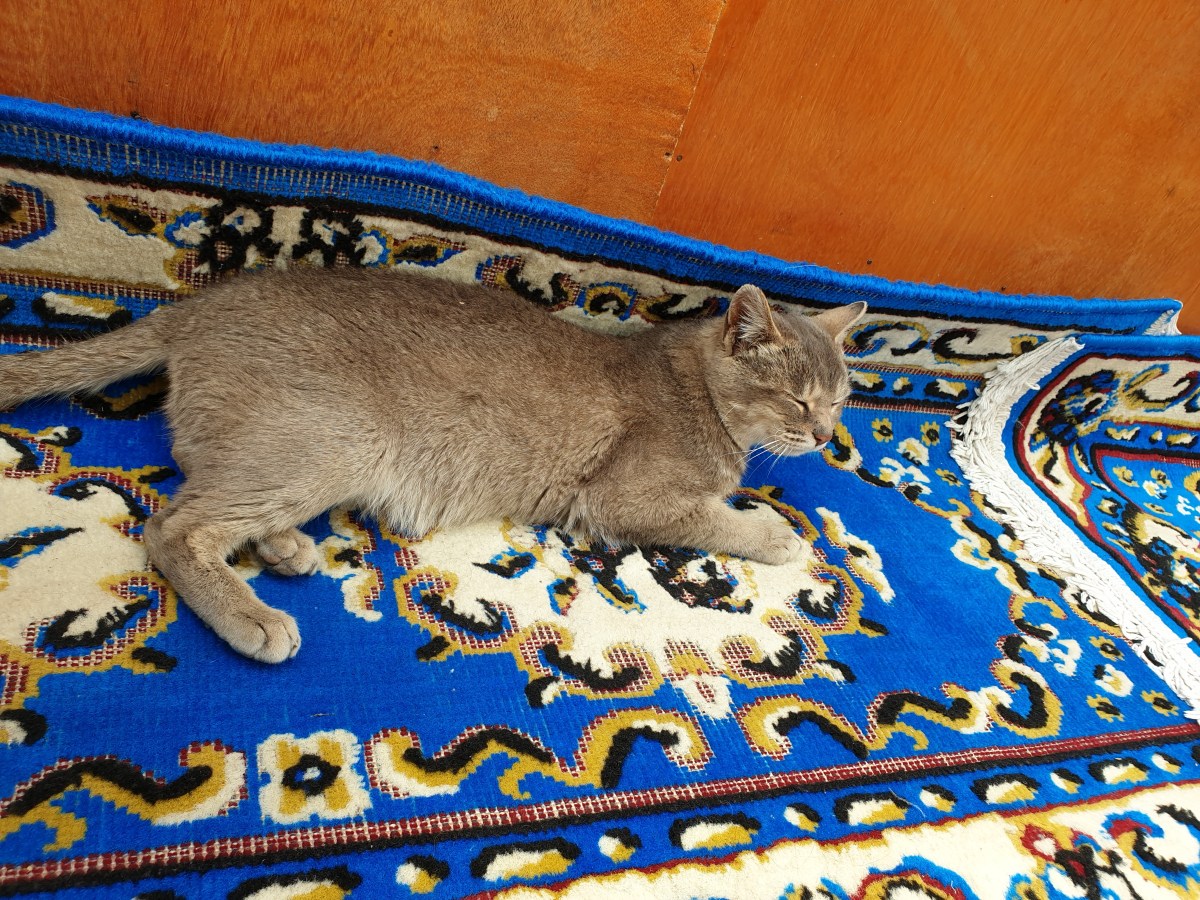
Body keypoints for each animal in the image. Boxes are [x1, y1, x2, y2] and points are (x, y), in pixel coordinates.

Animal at [0, 268, 865, 663]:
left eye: (842, 398)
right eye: (798, 402)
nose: (826, 436)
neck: (691, 382)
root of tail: (194, 308)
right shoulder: (623, 498)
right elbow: (721, 516)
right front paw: (780, 536)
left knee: (208, 491)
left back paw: (285, 548)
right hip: (338, 437)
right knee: (176, 525)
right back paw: (253, 617)